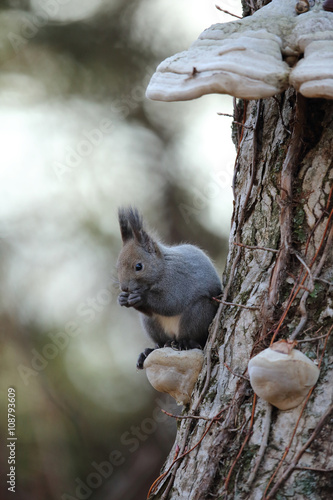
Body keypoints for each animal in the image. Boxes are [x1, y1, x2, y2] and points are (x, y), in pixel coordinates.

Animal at [115, 205, 222, 370]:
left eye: (139, 266)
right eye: (117, 267)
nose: (125, 288)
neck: (163, 267)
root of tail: (173, 338)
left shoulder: (178, 280)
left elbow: (171, 303)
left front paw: (141, 297)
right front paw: (122, 299)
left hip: (198, 314)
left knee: (193, 337)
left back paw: (185, 342)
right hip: (152, 325)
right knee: (160, 341)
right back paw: (149, 351)